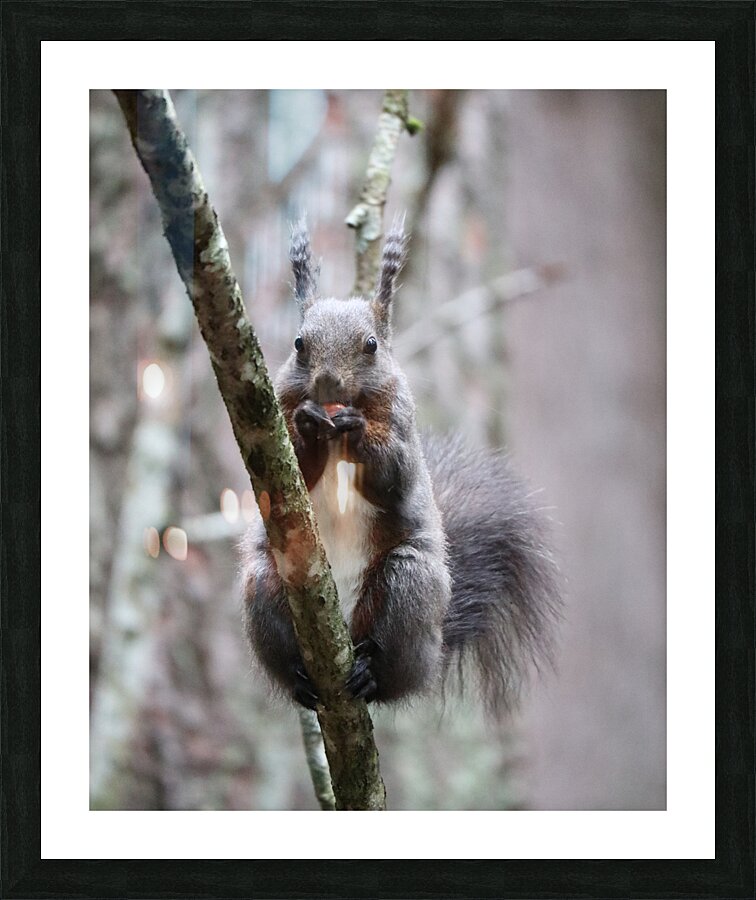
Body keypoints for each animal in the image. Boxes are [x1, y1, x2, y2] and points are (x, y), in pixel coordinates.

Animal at [242, 220, 560, 714]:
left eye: (371, 345)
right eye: (298, 344)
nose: (328, 383)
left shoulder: (401, 429)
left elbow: (393, 474)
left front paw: (355, 431)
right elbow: (285, 477)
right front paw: (308, 428)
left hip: (409, 588)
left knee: (389, 669)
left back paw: (371, 676)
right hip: (266, 583)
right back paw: (299, 678)